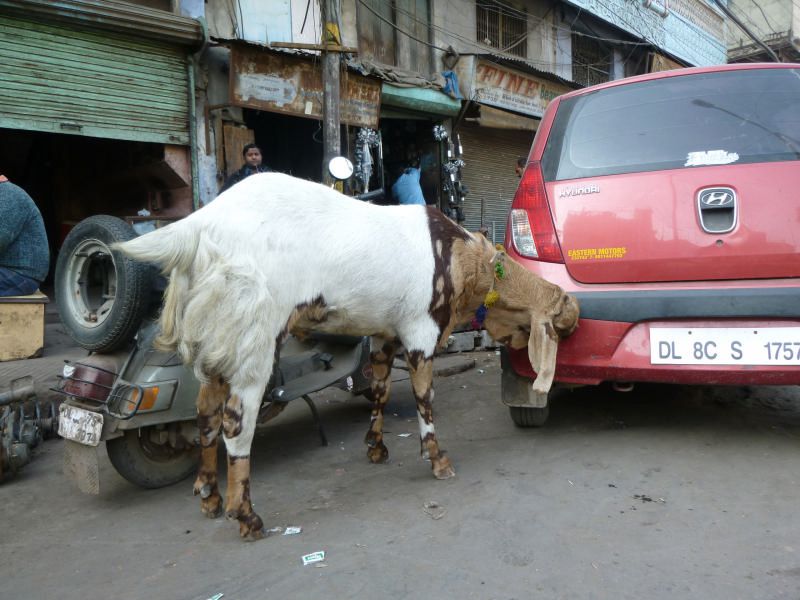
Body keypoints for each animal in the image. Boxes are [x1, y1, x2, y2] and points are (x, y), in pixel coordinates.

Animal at [115, 172, 580, 540]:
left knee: (205, 412)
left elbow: (378, 390)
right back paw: (245, 516)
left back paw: (209, 496)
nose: (576, 321)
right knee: (235, 422)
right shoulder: (420, 330)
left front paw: (376, 447)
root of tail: (198, 227)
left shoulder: (384, 333)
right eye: (559, 324)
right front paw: (437, 460)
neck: (466, 259)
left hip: (218, 335)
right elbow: (424, 399)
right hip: (254, 336)